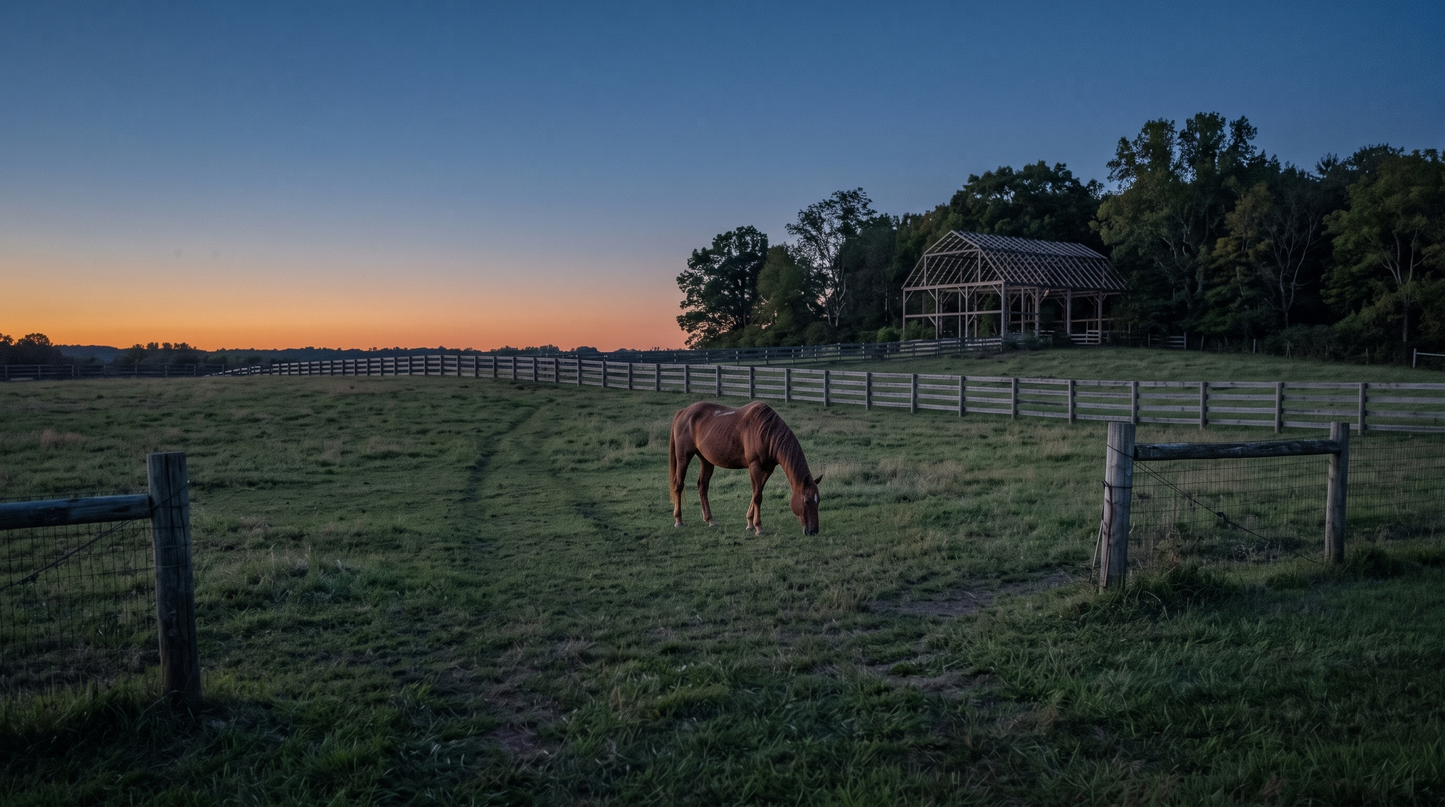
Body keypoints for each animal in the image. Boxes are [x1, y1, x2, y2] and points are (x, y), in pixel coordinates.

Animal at [669, 400, 821, 535]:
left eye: (818, 500)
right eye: (807, 501)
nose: (813, 531)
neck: (766, 432)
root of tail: (683, 412)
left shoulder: (768, 469)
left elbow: (756, 494)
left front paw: (750, 523)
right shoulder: (754, 466)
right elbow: (757, 496)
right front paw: (759, 527)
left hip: (706, 461)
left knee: (702, 486)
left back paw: (710, 520)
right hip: (683, 457)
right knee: (679, 485)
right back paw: (679, 520)